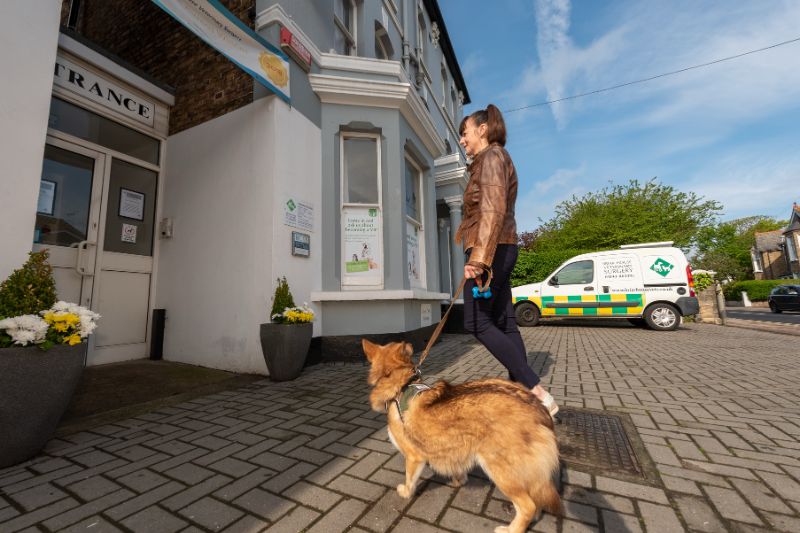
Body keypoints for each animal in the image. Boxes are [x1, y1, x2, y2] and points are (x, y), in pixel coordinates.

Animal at [362, 339, 561, 533]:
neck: (402, 385)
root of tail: (540, 411)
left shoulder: (414, 457)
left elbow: (410, 481)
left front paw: (405, 492)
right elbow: (457, 468)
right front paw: (458, 480)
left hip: (500, 471)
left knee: (528, 506)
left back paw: (511, 529)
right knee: (536, 501)